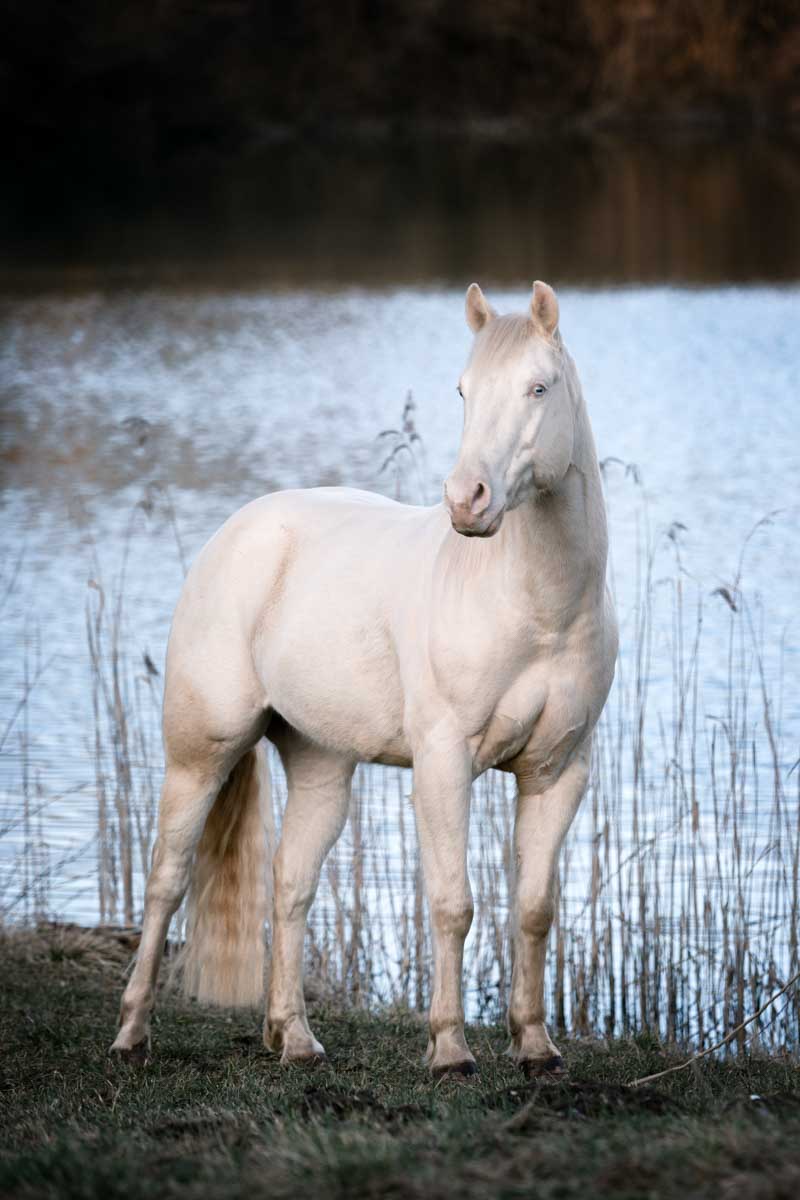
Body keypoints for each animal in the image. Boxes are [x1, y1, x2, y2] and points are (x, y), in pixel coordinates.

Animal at [109, 278, 618, 1080]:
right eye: (463, 389)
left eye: (540, 387)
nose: (467, 500)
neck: (540, 613)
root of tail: (238, 532)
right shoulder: (443, 764)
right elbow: (452, 904)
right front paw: (450, 1050)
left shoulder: (558, 772)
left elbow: (535, 909)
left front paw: (535, 1046)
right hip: (200, 754)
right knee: (167, 879)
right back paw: (132, 1034)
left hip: (321, 764)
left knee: (290, 885)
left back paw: (294, 1038)